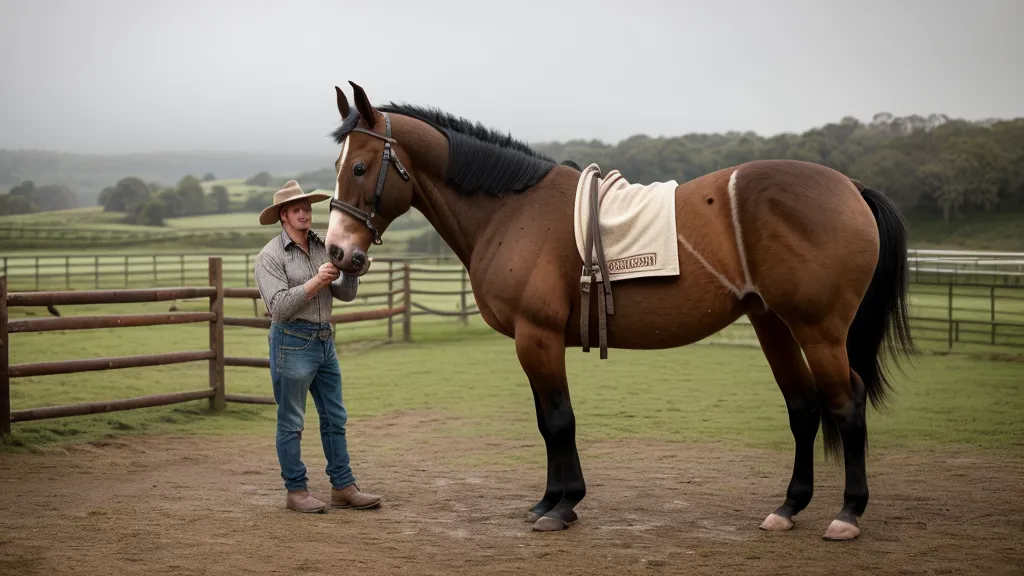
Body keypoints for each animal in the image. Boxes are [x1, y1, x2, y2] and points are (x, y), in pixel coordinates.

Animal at [323, 81, 914, 541]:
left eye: (360, 166)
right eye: (338, 165)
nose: (337, 252)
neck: (512, 211)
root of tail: (851, 185)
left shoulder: (537, 337)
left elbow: (559, 419)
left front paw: (563, 506)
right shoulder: (531, 342)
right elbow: (545, 421)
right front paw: (548, 501)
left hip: (819, 332)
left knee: (846, 404)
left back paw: (847, 515)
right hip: (774, 325)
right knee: (803, 407)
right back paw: (788, 507)